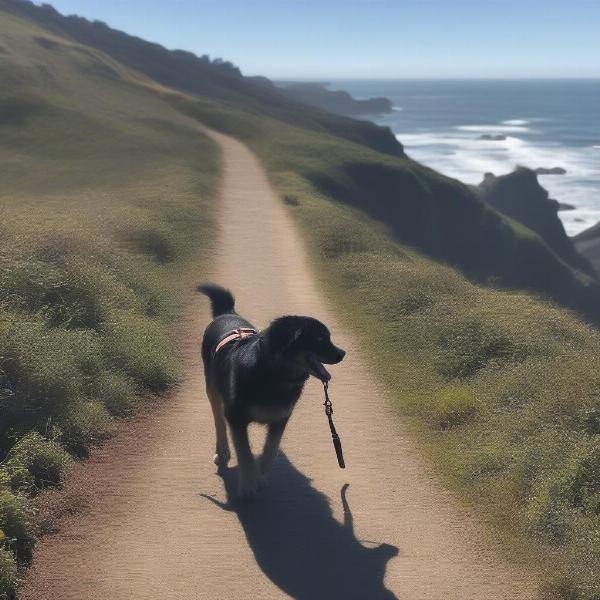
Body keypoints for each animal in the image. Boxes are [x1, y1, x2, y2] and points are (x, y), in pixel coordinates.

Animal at [199, 284, 344, 496]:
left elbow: (271, 448)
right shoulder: (236, 418)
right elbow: (244, 453)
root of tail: (227, 313)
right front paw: (249, 483)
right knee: (219, 421)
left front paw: (261, 470)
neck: (275, 375)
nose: (343, 354)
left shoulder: (281, 416)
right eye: (319, 338)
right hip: (213, 390)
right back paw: (222, 449)